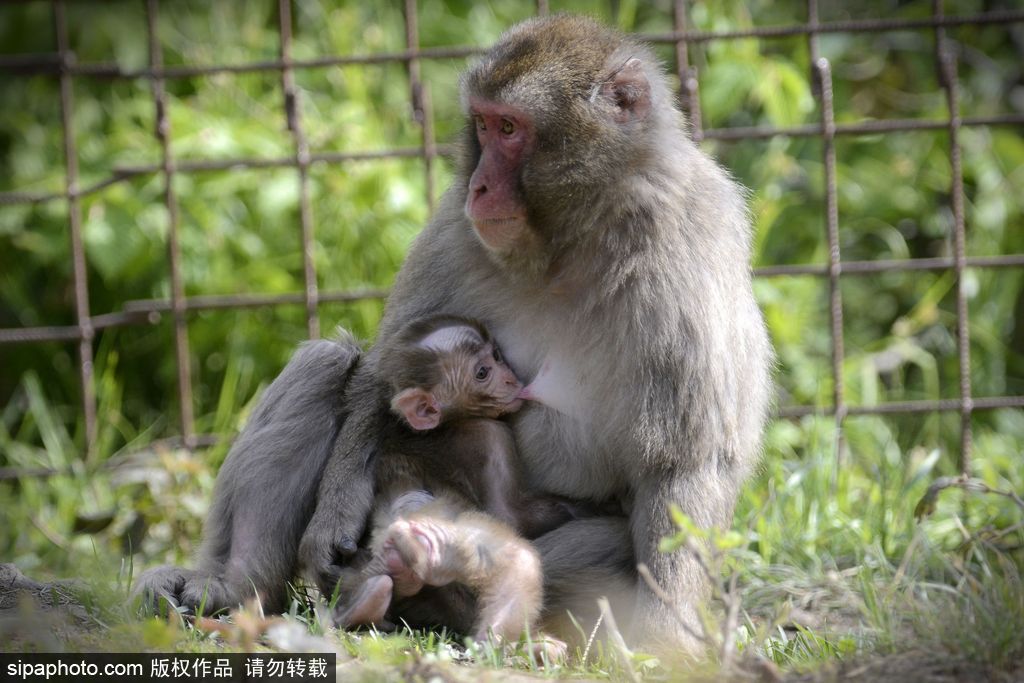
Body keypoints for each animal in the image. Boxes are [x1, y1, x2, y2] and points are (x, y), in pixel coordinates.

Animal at [335, 315, 577, 655]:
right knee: (515, 560)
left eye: (496, 356)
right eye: (482, 372)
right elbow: (510, 515)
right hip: (443, 544)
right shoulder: (492, 435)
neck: (448, 423)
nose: (510, 380)